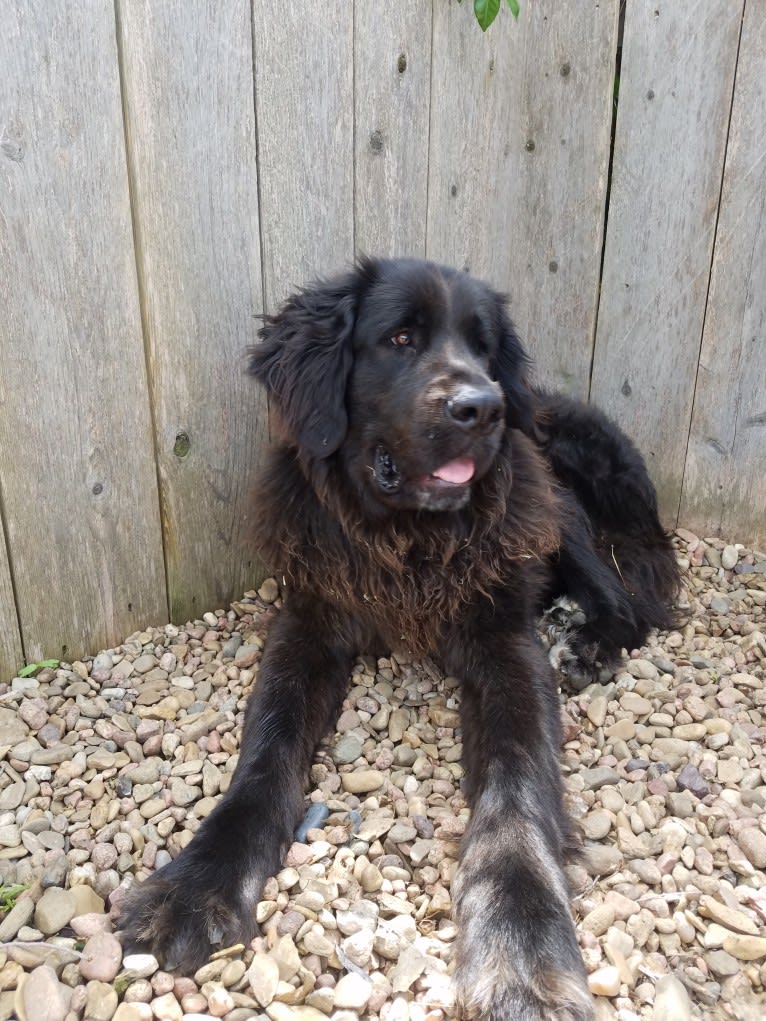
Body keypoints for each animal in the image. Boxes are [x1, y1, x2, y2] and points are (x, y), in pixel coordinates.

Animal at [123, 259, 682, 1021]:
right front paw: (193, 887)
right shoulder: (308, 624)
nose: (484, 407)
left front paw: (523, 950)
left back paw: (588, 641)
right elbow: (264, 756)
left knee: (626, 598)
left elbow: (517, 793)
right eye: (400, 338)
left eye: (484, 348)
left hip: (550, 499)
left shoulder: (505, 644)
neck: (410, 543)